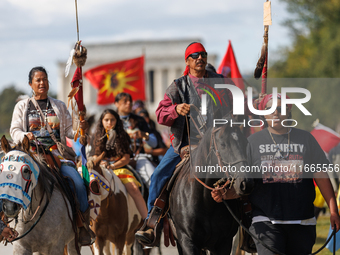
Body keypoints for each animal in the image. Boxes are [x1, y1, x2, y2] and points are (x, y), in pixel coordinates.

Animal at [169, 122, 252, 254]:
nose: (245, 183)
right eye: (223, 144)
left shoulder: (224, 243)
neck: (205, 202)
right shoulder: (187, 241)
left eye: (245, 143)